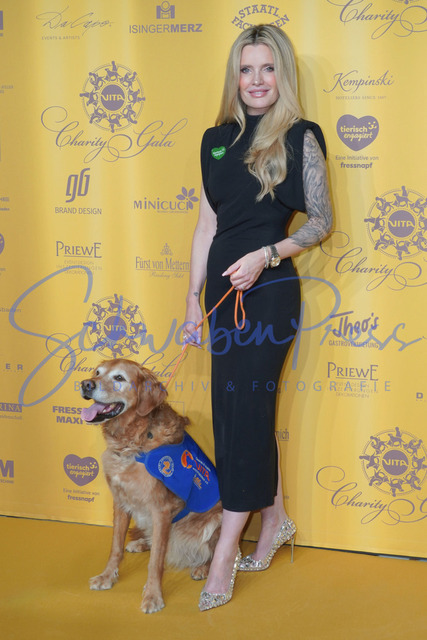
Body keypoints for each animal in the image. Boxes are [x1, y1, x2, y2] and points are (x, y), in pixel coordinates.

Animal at [80, 359, 222, 613]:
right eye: (96, 373)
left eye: (119, 378)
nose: (86, 384)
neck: (133, 441)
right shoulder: (121, 502)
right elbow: (115, 547)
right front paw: (107, 577)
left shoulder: (161, 510)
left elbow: (156, 561)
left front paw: (153, 596)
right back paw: (140, 544)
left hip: (215, 520)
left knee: (216, 551)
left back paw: (203, 568)